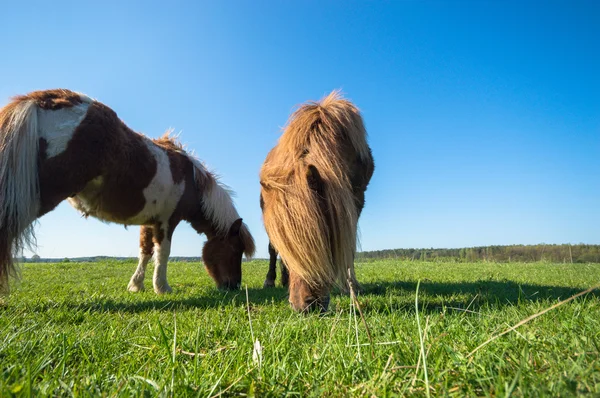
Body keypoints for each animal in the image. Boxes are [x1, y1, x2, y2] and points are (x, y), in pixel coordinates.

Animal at [0, 91, 255, 296]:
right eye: (236, 250)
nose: (233, 286)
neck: (191, 179)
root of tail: (40, 100)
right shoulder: (167, 221)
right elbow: (163, 252)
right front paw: (162, 288)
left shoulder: (150, 221)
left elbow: (145, 252)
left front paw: (136, 285)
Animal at [258, 91, 372, 312]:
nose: (303, 306)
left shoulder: (356, 200)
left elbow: (348, 243)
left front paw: (351, 285)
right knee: (272, 249)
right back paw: (271, 280)